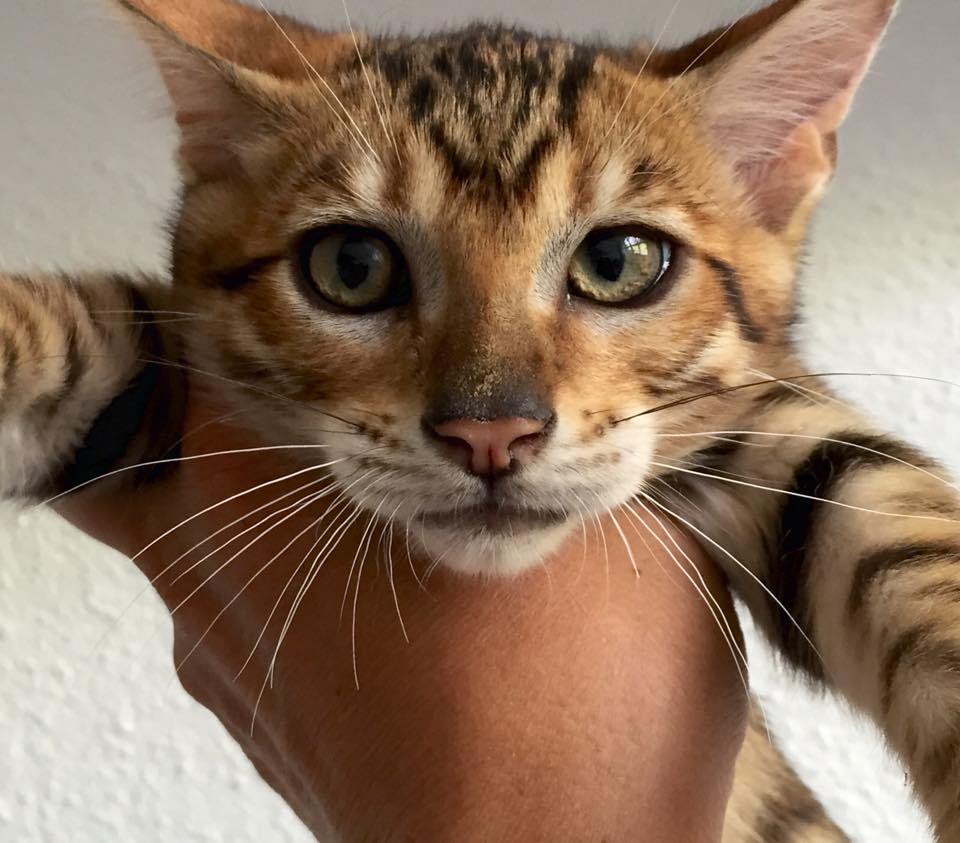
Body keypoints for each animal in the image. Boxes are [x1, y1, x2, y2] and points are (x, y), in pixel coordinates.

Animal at [0, 0, 952, 840]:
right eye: (351, 265)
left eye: (619, 261)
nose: (490, 431)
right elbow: (92, 334)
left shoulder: (760, 409)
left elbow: (889, 518)